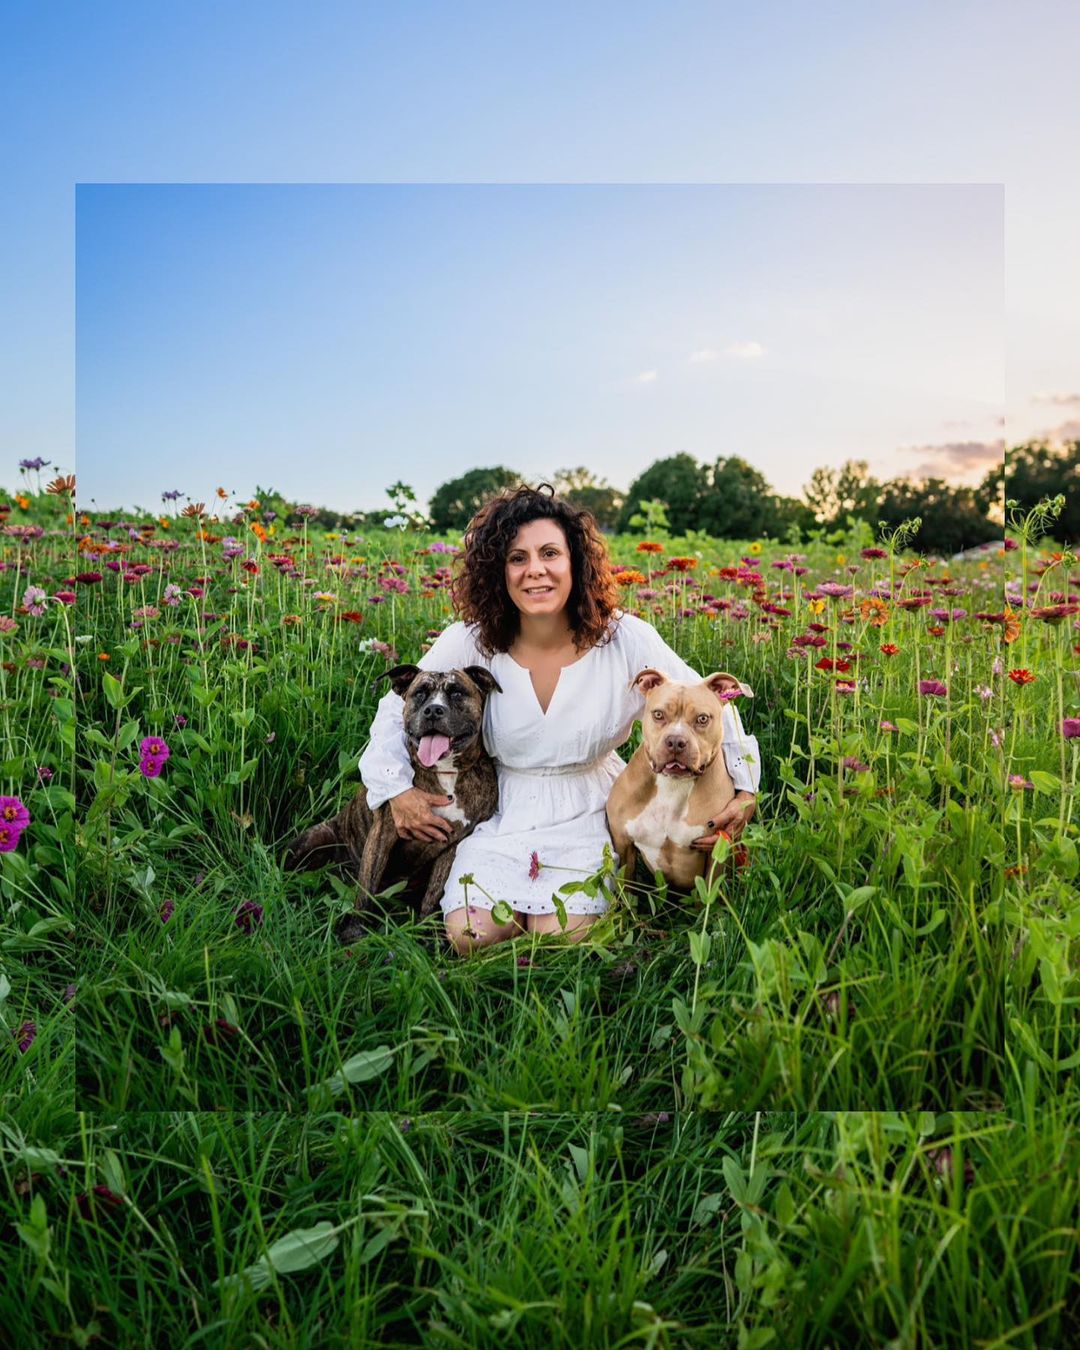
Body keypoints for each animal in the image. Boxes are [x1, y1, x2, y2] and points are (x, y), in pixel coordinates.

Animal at [607, 669, 750, 891]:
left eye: (702, 718)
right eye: (658, 714)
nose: (675, 741)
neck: (673, 785)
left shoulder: (715, 853)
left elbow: (708, 892)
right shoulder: (624, 844)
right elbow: (626, 891)